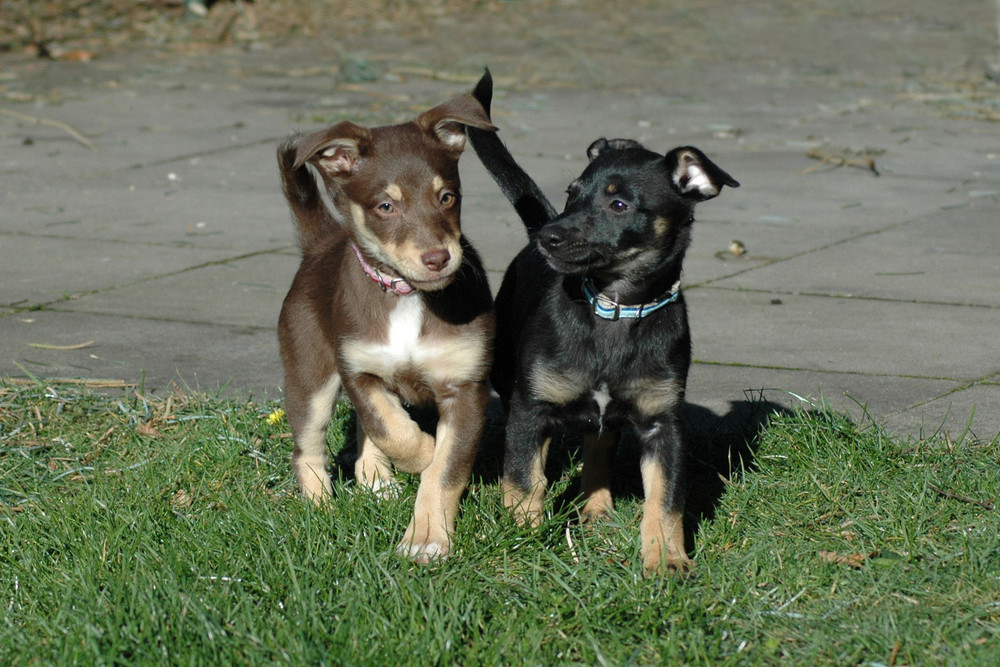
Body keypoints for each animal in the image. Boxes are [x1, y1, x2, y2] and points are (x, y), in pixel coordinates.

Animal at [278, 92, 496, 564]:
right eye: (386, 206)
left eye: (447, 197)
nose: (438, 258)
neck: (407, 296)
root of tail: (320, 245)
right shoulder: (357, 369)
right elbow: (391, 428)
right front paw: (425, 453)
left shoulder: (466, 386)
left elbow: (441, 471)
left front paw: (427, 538)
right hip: (309, 373)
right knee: (308, 446)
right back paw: (321, 508)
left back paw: (377, 484)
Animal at [464, 72, 740, 576]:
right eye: (572, 192)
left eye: (619, 204)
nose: (549, 236)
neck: (615, 307)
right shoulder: (532, 407)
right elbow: (524, 479)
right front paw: (521, 540)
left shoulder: (662, 422)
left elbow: (666, 499)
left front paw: (666, 559)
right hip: (511, 381)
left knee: (599, 446)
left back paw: (597, 510)